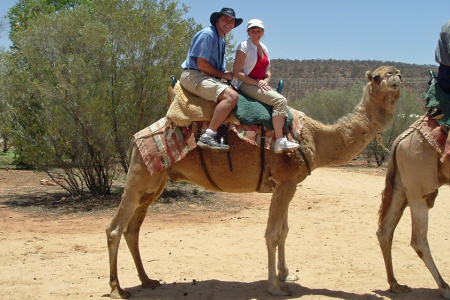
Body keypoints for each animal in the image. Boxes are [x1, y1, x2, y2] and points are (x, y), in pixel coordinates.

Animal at [107, 65, 402, 298]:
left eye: (396, 71)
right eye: (377, 77)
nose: (396, 78)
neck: (317, 138)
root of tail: (135, 138)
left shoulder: (287, 184)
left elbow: (284, 231)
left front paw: (286, 274)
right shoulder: (285, 182)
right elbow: (272, 234)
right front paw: (276, 286)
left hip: (154, 183)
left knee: (132, 229)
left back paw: (147, 280)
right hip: (140, 173)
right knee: (114, 229)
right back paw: (117, 289)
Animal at [376, 115, 450, 298]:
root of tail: (401, 139)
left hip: (401, 187)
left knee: (385, 231)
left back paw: (395, 285)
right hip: (419, 189)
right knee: (418, 240)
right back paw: (445, 288)